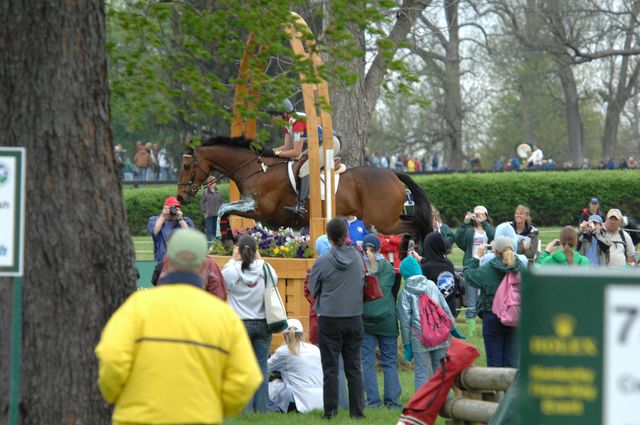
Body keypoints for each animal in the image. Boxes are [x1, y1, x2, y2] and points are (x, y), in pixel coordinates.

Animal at [178, 137, 432, 240]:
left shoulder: (259, 208)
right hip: (386, 219)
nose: (181, 197)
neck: (255, 169)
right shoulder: (254, 207)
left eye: (187, 165)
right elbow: (227, 210)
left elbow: (223, 209)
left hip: (381, 222)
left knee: (414, 227)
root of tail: (393, 174)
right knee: (414, 224)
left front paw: (221, 236)